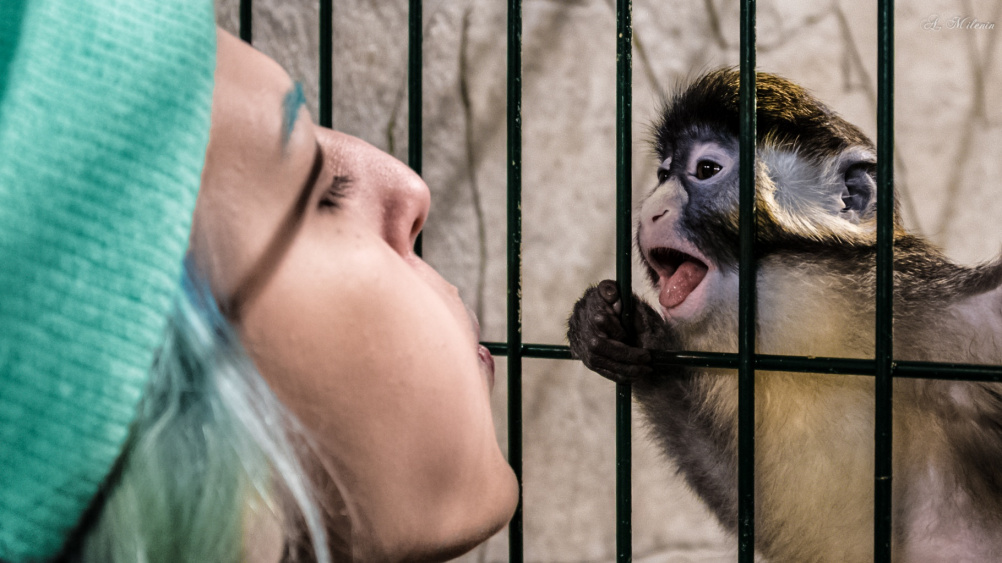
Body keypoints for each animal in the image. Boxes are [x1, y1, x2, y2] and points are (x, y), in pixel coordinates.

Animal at [567, 69, 1002, 562]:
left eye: (706, 170)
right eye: (662, 174)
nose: (650, 209)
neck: (817, 332)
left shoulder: (950, 324)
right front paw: (623, 332)